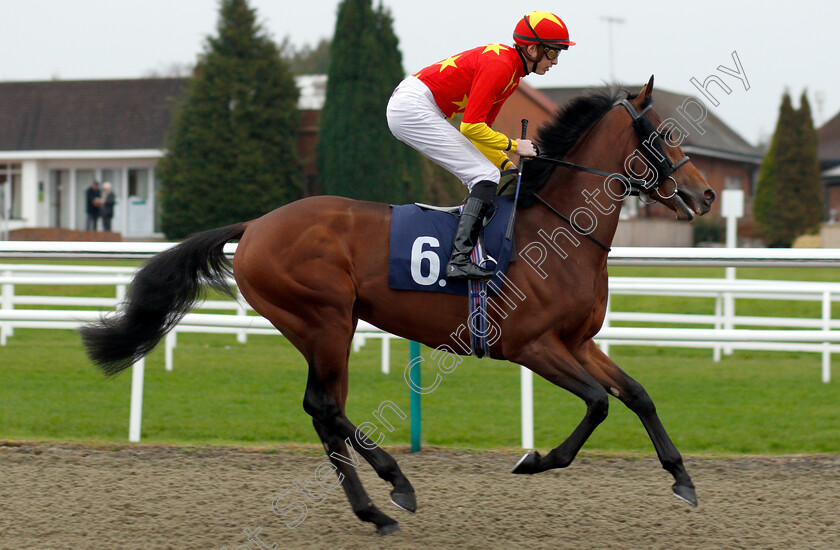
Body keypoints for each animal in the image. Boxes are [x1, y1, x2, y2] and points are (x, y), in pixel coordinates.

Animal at [82, 76, 716, 536]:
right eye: (664, 135)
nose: (706, 193)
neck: (560, 231)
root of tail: (257, 224)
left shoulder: (578, 342)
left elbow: (636, 394)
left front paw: (682, 478)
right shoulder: (531, 346)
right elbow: (597, 404)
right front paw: (534, 460)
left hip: (325, 327)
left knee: (323, 412)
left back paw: (375, 511)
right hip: (324, 319)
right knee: (324, 406)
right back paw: (397, 485)